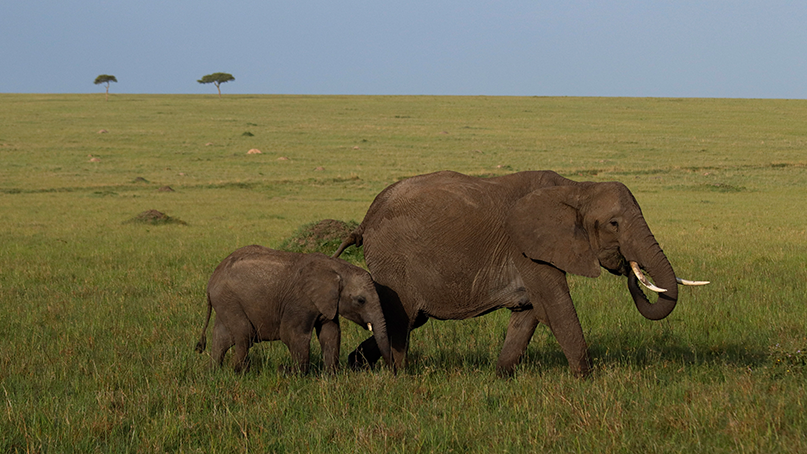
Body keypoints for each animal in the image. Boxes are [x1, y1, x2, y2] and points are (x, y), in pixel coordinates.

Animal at [195, 245, 392, 374]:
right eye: (360, 300)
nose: (392, 371)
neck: (337, 268)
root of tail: (212, 278)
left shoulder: (327, 303)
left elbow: (331, 333)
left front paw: (330, 376)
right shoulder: (299, 300)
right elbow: (292, 334)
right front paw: (292, 373)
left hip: (225, 301)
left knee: (222, 336)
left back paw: (214, 371)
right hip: (229, 300)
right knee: (244, 335)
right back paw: (238, 371)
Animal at [333, 170, 707, 377]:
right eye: (614, 224)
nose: (630, 267)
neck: (575, 188)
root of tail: (366, 219)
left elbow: (529, 313)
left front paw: (500, 378)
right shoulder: (526, 247)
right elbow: (555, 306)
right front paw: (586, 380)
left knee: (406, 320)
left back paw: (353, 367)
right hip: (394, 263)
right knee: (403, 318)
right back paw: (399, 376)